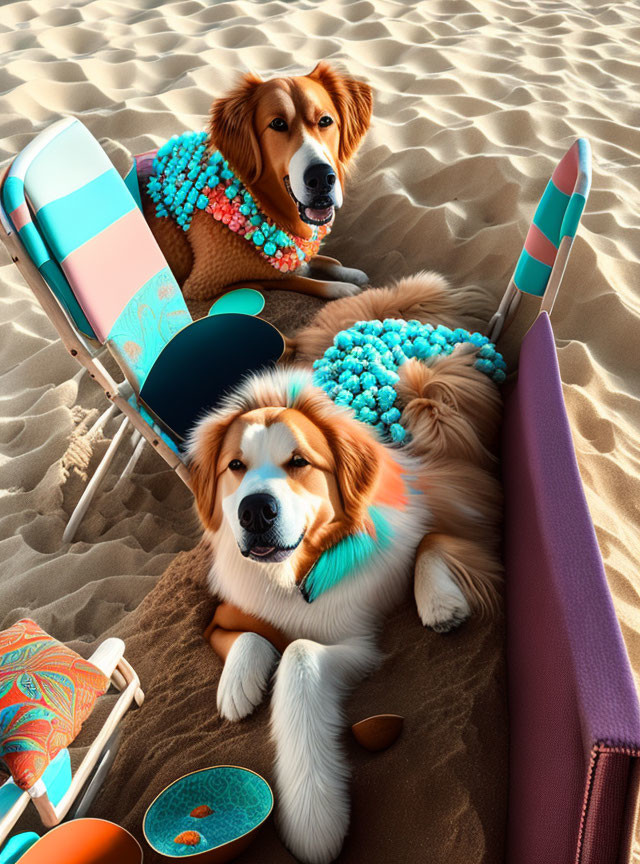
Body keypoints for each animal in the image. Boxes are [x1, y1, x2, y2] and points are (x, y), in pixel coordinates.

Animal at [188, 272, 502, 864]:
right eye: (235, 466)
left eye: (299, 462)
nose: (255, 511)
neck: (292, 575)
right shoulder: (226, 611)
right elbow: (250, 636)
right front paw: (238, 687)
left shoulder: (354, 641)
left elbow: (299, 657)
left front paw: (314, 818)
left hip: (435, 410)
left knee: (441, 531)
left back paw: (438, 601)